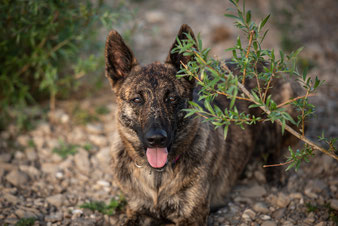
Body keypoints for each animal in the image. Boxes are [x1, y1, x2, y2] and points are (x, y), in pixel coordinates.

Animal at [103, 23, 298, 225]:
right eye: (137, 99)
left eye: (172, 98)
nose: (156, 139)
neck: (157, 176)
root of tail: (262, 62)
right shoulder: (136, 210)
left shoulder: (192, 216)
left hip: (279, 116)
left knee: (276, 148)